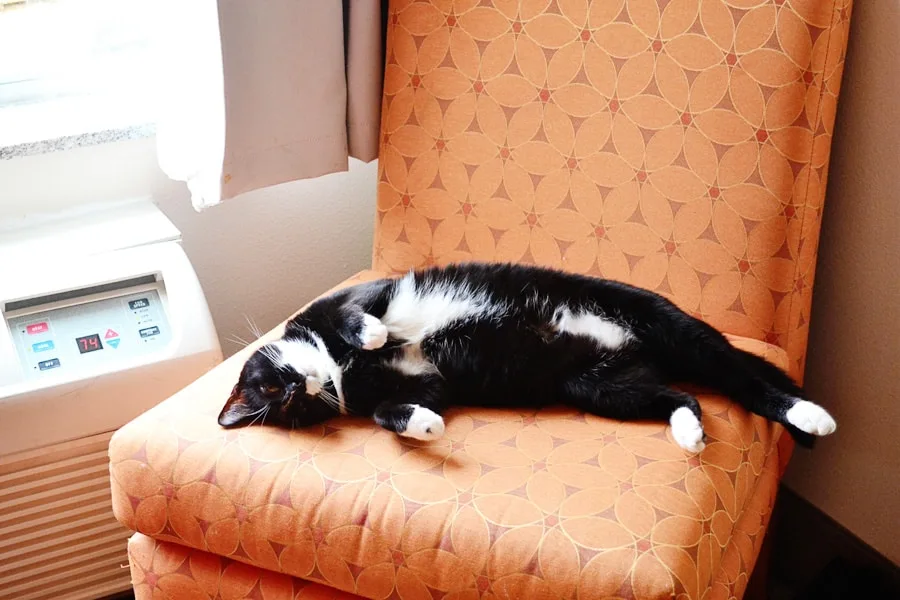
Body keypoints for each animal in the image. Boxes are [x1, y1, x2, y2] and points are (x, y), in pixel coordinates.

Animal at [220, 260, 836, 452]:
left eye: (272, 386)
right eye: (290, 408)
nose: (299, 386)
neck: (343, 373)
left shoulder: (361, 294)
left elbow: (356, 314)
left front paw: (369, 335)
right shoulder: (426, 380)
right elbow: (389, 408)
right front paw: (426, 426)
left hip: (673, 326)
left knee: (739, 377)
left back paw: (811, 415)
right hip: (602, 387)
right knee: (680, 395)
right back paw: (689, 433)